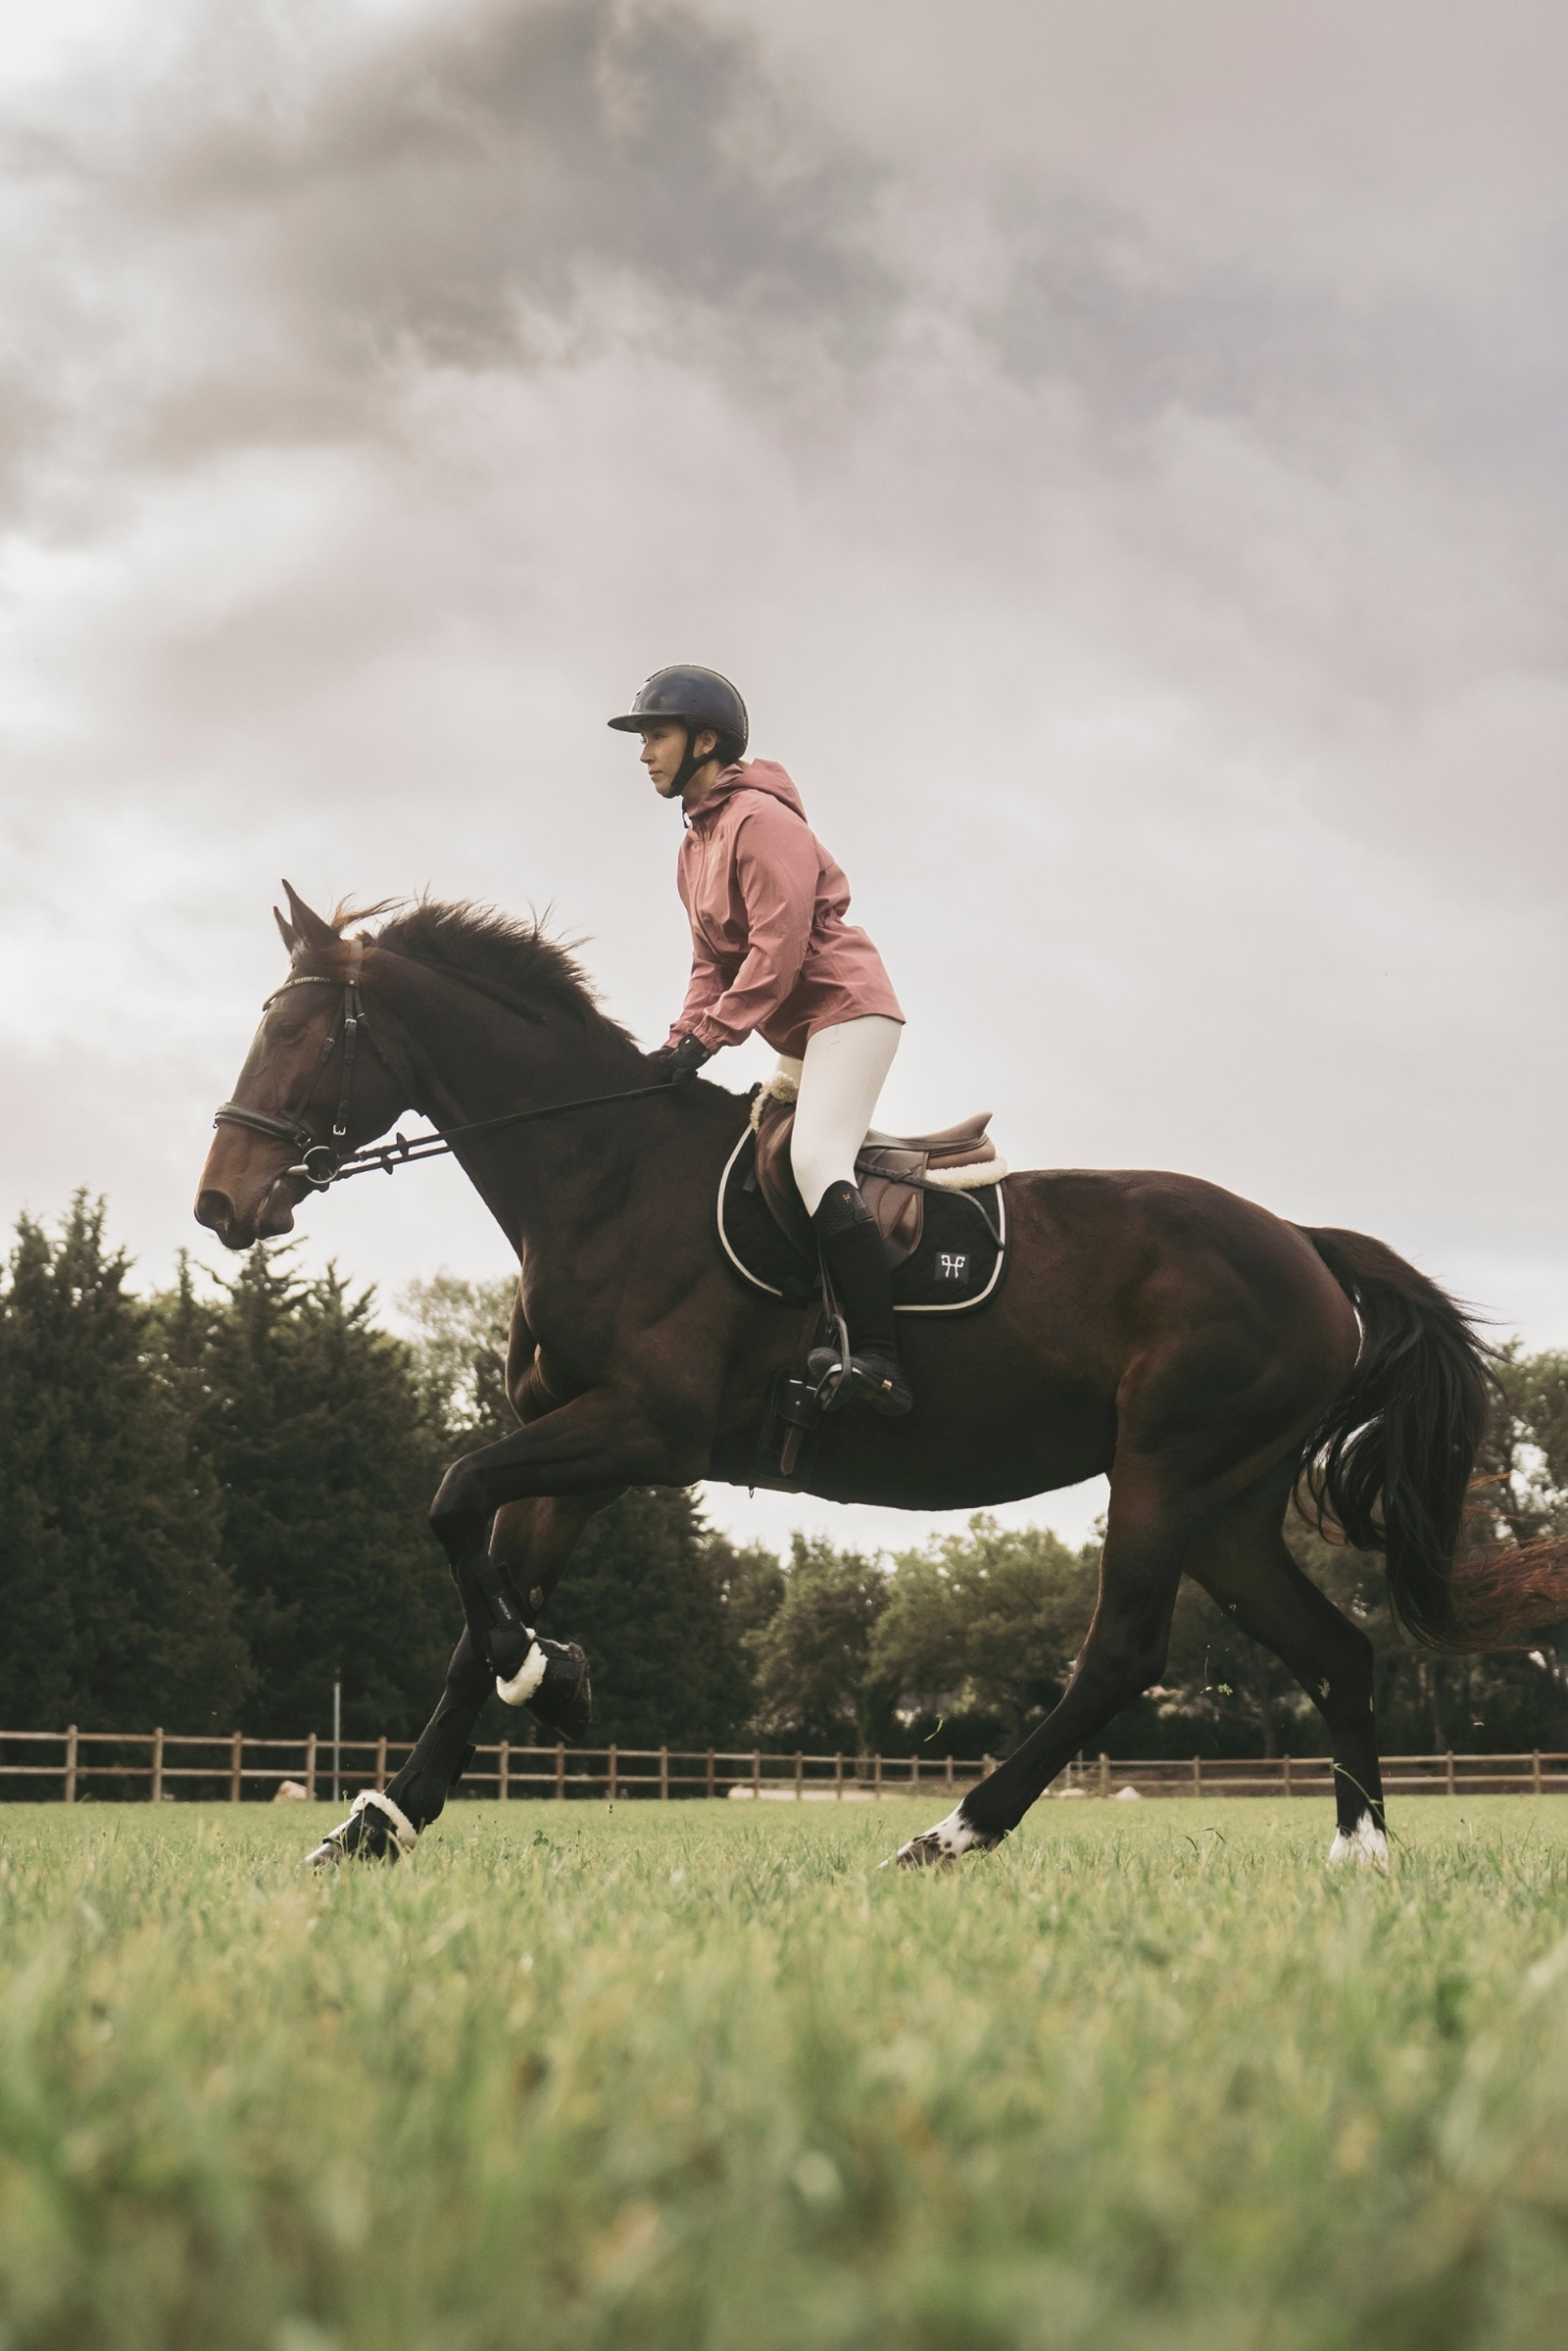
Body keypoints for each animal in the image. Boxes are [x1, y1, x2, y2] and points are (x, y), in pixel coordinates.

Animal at [195, 885, 1565, 1869]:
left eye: (300, 1031)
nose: (220, 1205)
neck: (602, 1172)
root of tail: (1302, 1244)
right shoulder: (573, 1444)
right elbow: (476, 1606)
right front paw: (390, 1812)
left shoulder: (643, 1430)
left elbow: (450, 1502)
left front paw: (551, 1681)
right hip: (1230, 1501)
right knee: (1337, 1652)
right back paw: (1359, 1853)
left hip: (1166, 1469)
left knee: (1122, 1653)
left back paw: (953, 1830)